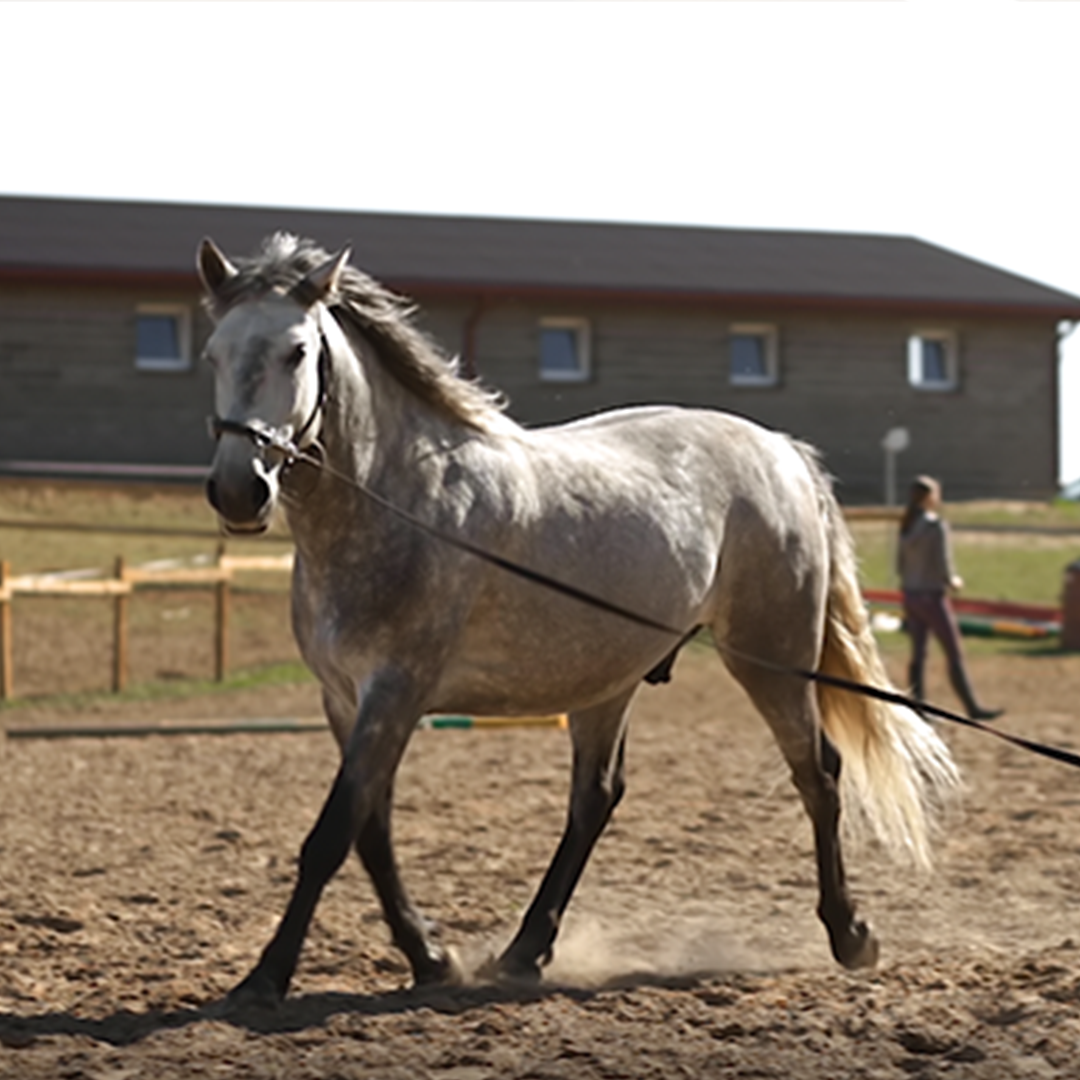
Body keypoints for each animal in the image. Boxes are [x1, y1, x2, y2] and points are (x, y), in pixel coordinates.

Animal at [198, 232, 959, 1010]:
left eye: (296, 351)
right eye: (213, 353)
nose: (238, 490)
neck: (401, 502)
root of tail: (780, 449)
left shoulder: (396, 693)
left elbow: (333, 832)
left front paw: (265, 977)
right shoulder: (345, 700)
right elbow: (370, 833)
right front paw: (430, 959)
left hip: (767, 656)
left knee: (818, 773)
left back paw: (849, 935)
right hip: (608, 680)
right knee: (596, 799)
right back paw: (525, 950)